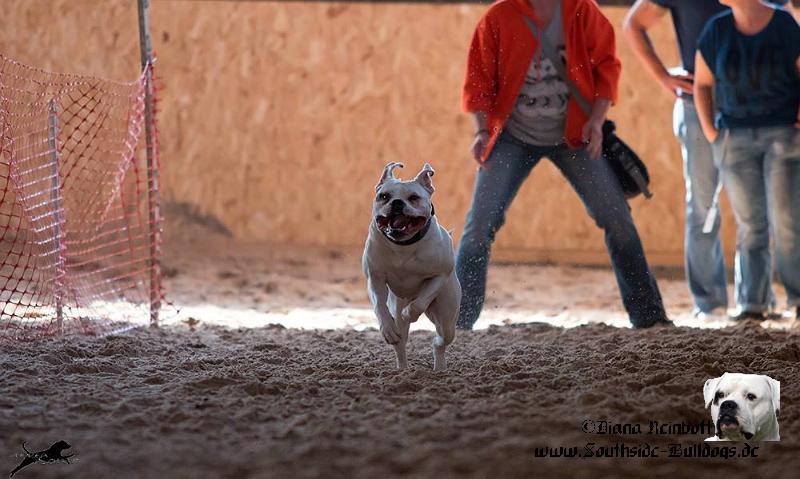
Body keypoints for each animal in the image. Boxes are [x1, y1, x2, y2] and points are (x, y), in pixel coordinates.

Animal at [360, 163, 460, 374]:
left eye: (414, 197)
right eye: (384, 196)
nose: (397, 203)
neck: (404, 245)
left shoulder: (440, 275)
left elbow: (421, 301)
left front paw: (410, 313)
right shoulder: (375, 278)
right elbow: (379, 306)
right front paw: (388, 329)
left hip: (447, 317)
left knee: (440, 340)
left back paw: (440, 367)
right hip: (397, 306)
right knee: (401, 342)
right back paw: (403, 369)